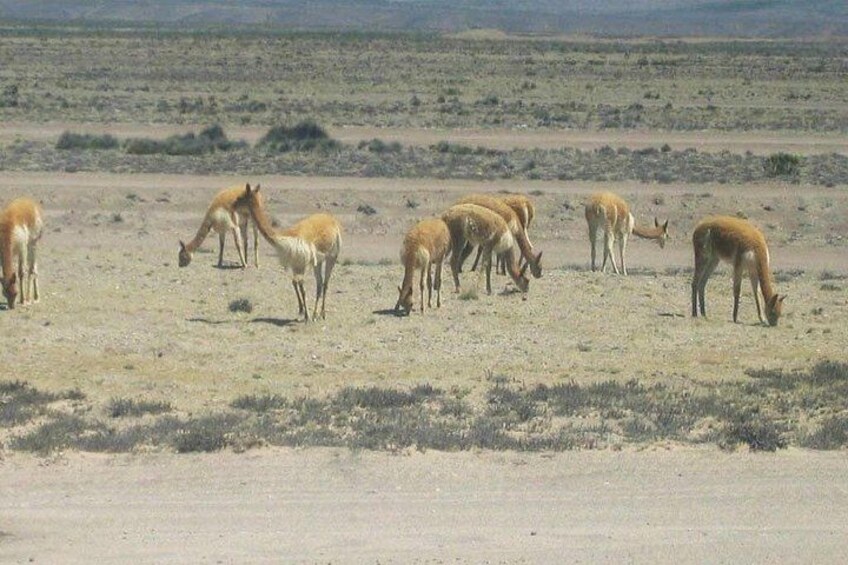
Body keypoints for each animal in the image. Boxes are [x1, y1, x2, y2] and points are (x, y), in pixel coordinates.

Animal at [235, 184, 342, 322]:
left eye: (241, 197)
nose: (233, 204)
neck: (283, 237)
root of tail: (332, 220)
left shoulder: (301, 265)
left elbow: (302, 288)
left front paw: (306, 315)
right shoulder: (294, 265)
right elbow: (295, 283)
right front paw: (302, 310)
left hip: (332, 256)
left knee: (325, 283)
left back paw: (322, 314)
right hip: (318, 262)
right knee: (319, 283)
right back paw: (315, 314)